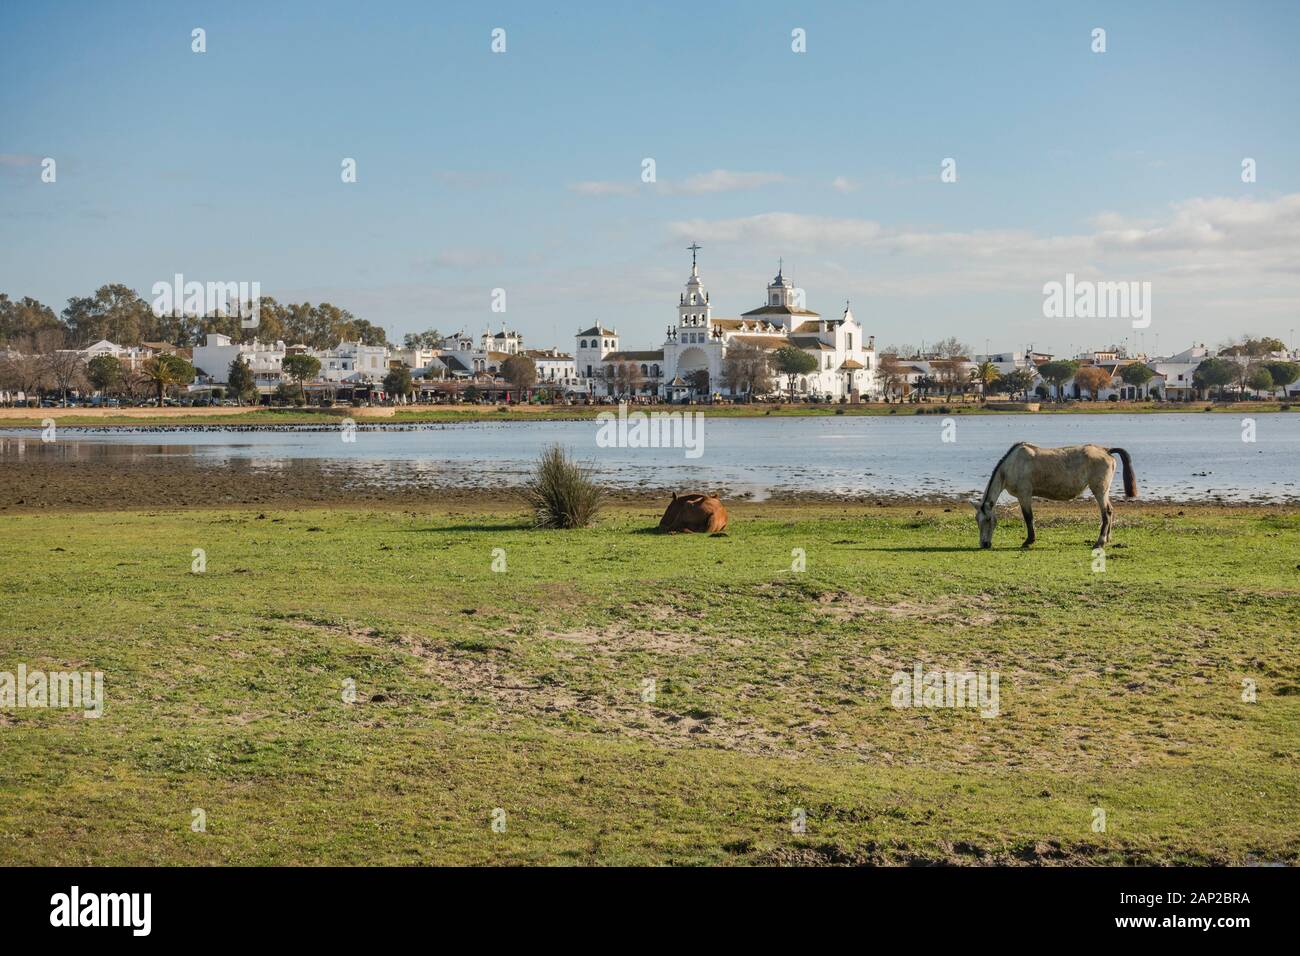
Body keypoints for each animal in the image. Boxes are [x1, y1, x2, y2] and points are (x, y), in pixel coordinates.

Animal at [975, 443, 1136, 549]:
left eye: (988, 520)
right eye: (977, 520)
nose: (984, 544)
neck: (1012, 465)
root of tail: (1106, 450)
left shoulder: (1024, 494)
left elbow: (1028, 517)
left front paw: (1029, 541)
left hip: (1099, 490)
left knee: (1106, 513)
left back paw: (1099, 542)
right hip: (1104, 491)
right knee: (1111, 510)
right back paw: (1107, 539)